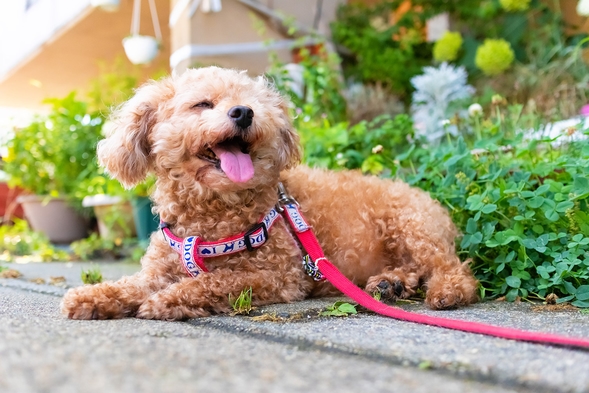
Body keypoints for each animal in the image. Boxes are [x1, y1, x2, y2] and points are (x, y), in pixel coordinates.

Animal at [59, 66, 478, 320]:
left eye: (255, 105)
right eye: (203, 103)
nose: (243, 112)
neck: (212, 212)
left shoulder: (277, 276)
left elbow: (213, 282)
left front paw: (167, 301)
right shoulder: (158, 271)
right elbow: (130, 286)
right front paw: (91, 296)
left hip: (411, 224)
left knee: (451, 268)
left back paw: (448, 291)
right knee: (412, 268)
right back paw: (389, 284)